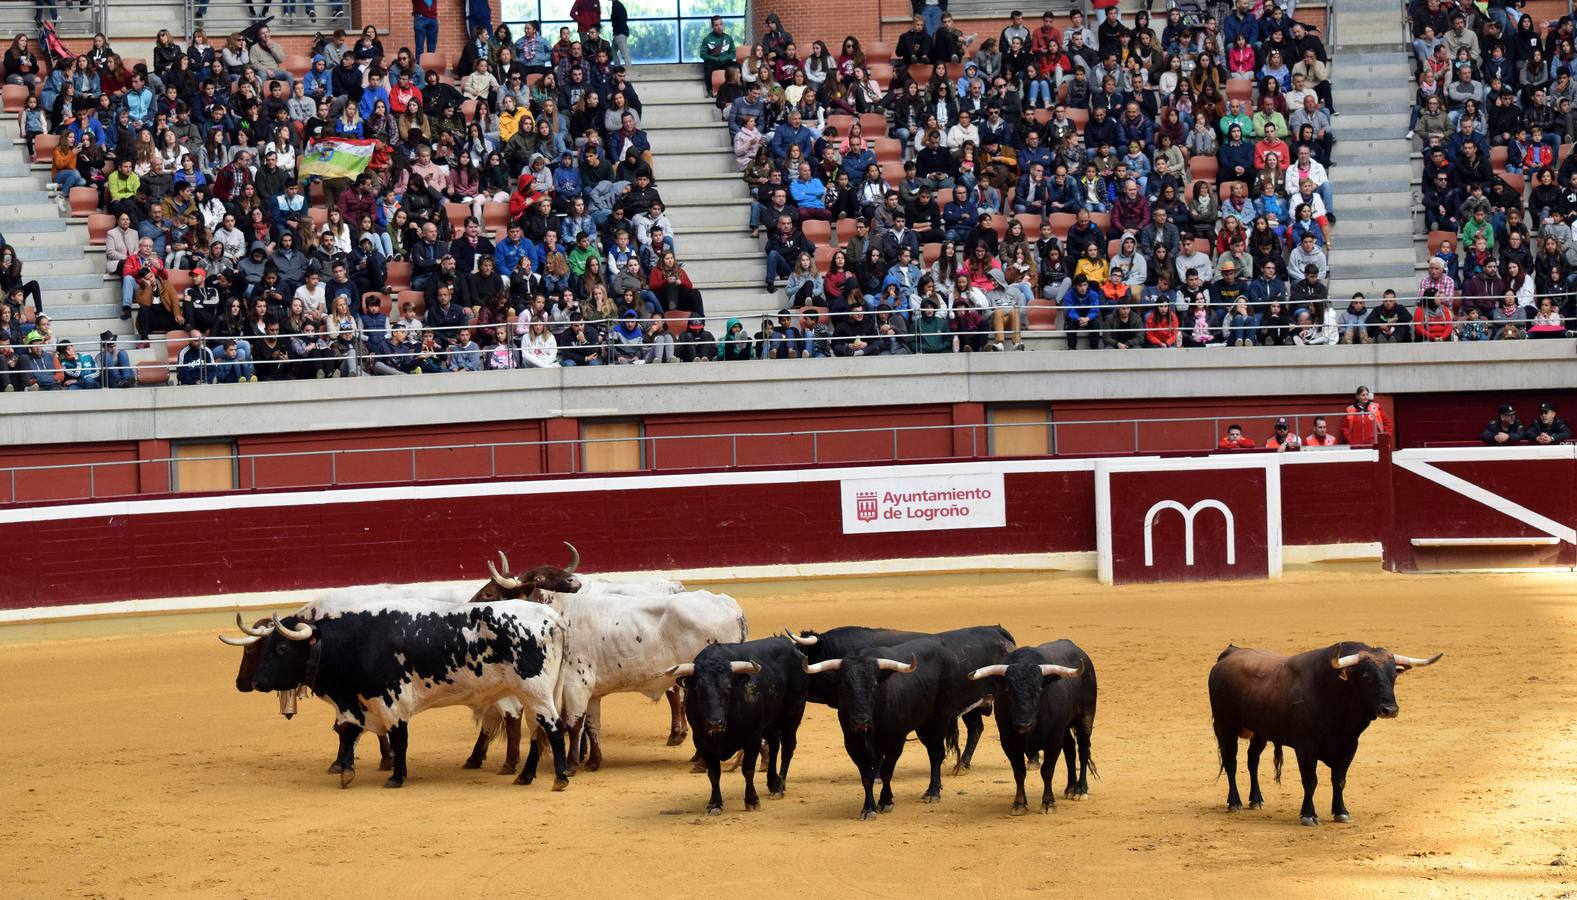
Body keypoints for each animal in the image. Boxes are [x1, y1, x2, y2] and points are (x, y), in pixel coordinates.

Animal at [1204, 643, 1444, 825]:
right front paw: (1308, 815)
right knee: (1231, 763)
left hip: (1260, 732)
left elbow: (1339, 780)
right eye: (1366, 676)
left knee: (1252, 760)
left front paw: (1341, 811)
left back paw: (1256, 800)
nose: (1390, 710)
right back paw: (1235, 802)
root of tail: (1229, 653)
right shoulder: (1306, 747)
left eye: (1394, 675)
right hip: (1226, 726)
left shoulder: (1349, 746)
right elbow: (1310, 781)